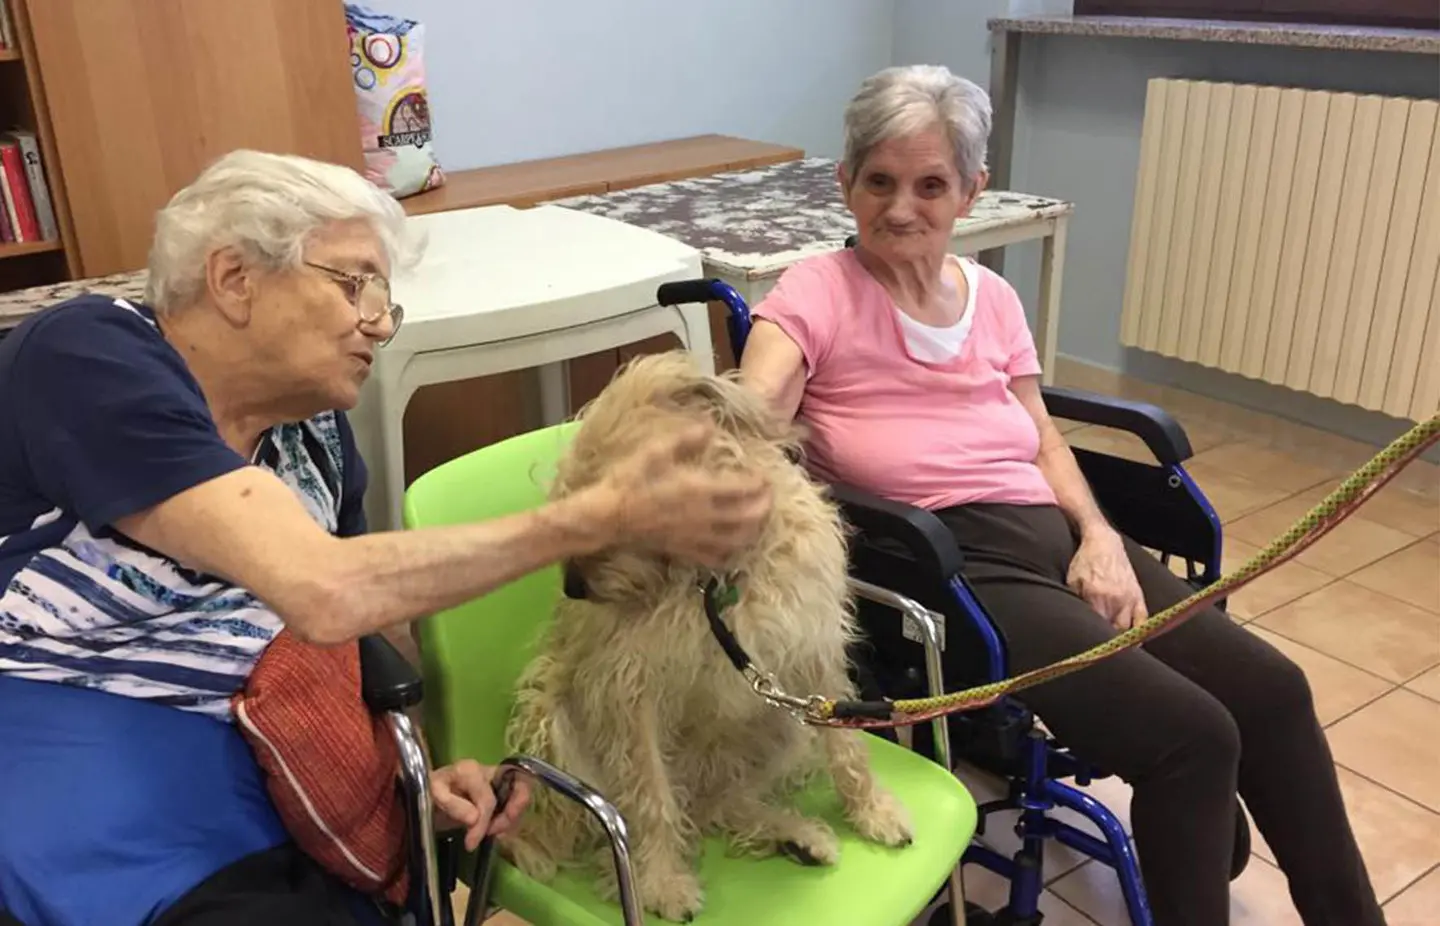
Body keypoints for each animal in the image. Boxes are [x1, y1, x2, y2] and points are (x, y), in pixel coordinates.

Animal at [501, 351, 915, 921]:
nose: (574, 586)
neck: (714, 577)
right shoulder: (628, 691)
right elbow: (648, 795)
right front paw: (660, 881)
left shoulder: (813, 656)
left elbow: (848, 748)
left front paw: (873, 809)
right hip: (554, 719)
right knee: (621, 827)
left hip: (782, 729)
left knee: (724, 803)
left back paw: (795, 836)